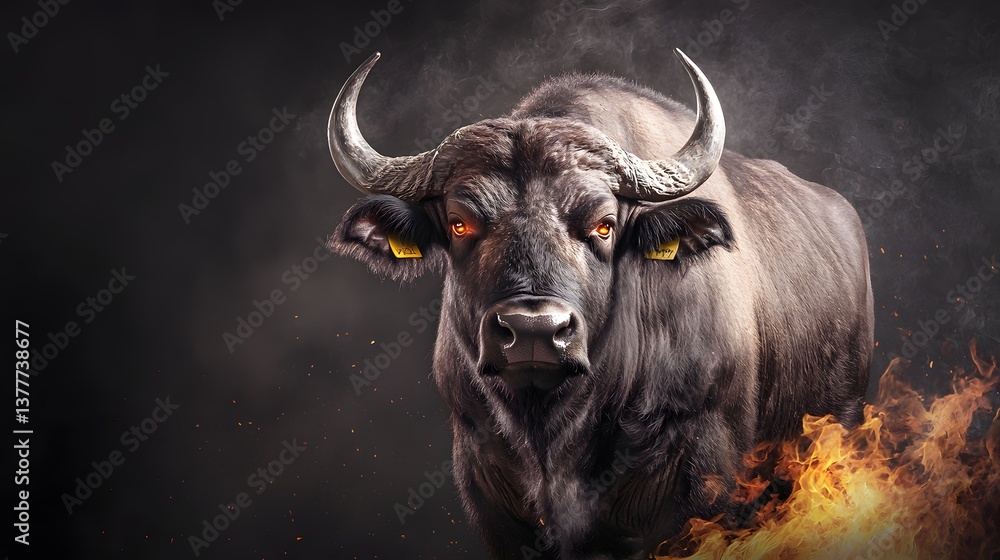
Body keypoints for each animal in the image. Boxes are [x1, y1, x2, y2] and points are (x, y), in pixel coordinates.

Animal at [325, 50, 873, 559]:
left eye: (604, 224)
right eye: (460, 223)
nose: (533, 332)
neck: (556, 432)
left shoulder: (705, 478)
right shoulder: (485, 480)